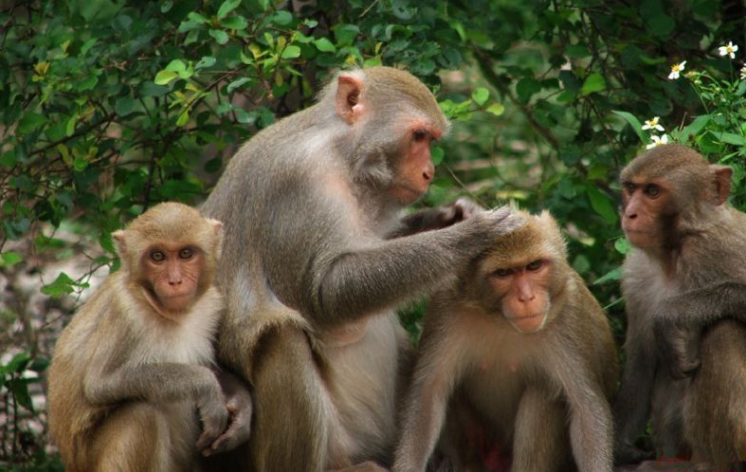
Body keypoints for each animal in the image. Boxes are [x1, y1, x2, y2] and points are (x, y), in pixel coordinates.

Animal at [48, 202, 253, 472]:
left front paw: (241, 407)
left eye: (186, 253)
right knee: (141, 413)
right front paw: (206, 386)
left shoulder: (212, 306)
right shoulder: (125, 314)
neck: (167, 313)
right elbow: (99, 384)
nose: (175, 281)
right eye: (157, 257)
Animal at [201, 67, 520, 472]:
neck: (340, 155)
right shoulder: (299, 185)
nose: (429, 172)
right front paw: (470, 236)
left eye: (430, 139)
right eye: (419, 136)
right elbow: (324, 295)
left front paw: (452, 215)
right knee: (282, 337)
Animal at [390, 209, 616, 472]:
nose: (526, 298)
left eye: (534, 266)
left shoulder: (569, 317)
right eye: (503, 273)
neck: (500, 320)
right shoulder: (445, 308)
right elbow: (428, 394)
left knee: (543, 393)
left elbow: (586, 409)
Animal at [612, 145, 744, 472]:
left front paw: (671, 314)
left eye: (652, 191)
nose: (630, 213)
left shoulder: (721, 248)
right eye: (631, 188)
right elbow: (641, 365)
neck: (674, 255)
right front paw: (617, 450)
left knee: (723, 329)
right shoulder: (636, 276)